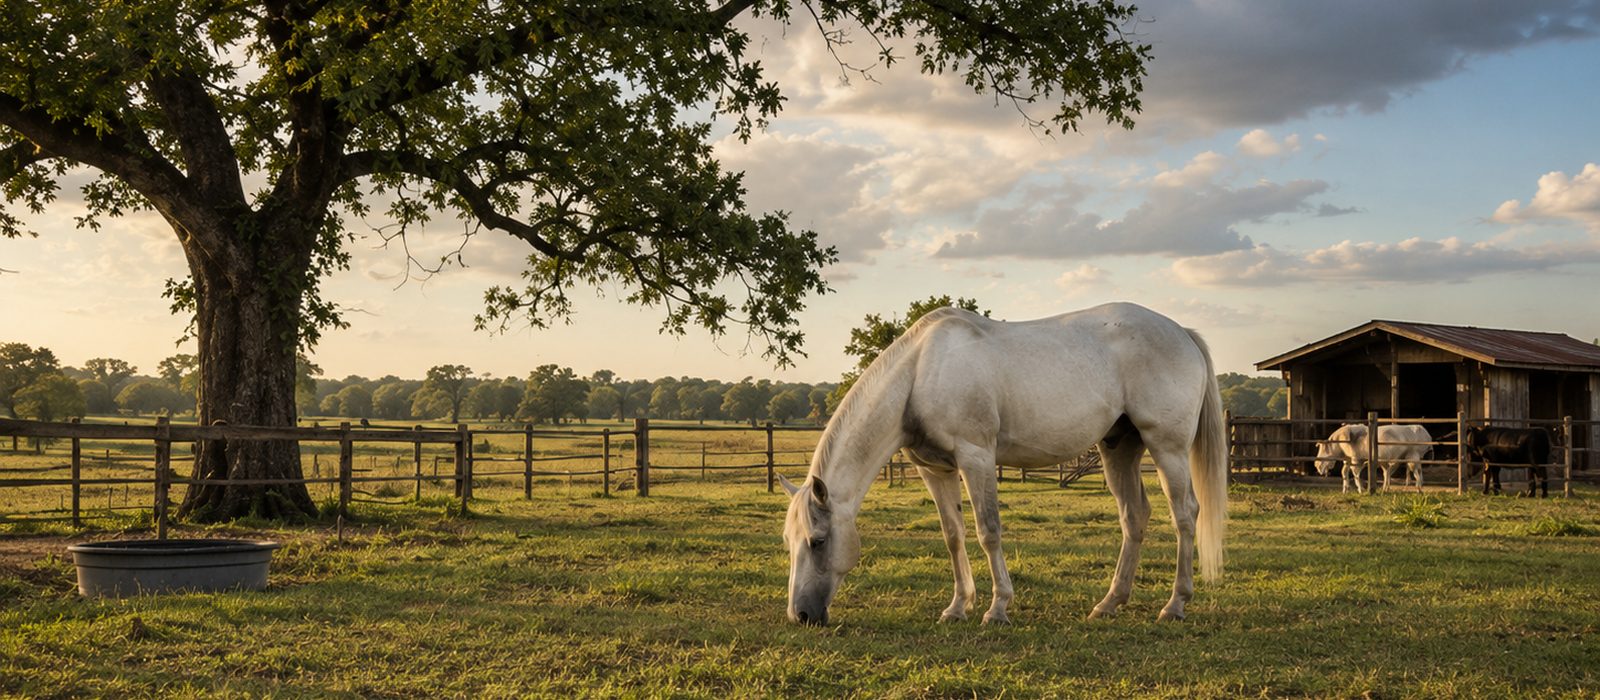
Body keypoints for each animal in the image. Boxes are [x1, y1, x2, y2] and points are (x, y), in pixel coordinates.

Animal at [779, 302, 1227, 625]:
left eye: (818, 541)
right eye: (789, 541)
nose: (801, 615)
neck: (921, 372)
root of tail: (1181, 332)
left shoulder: (976, 457)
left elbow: (988, 531)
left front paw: (997, 609)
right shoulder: (936, 469)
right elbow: (953, 535)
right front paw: (958, 607)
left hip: (1167, 448)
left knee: (1185, 515)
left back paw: (1175, 604)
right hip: (1119, 448)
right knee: (1134, 517)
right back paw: (1109, 603)